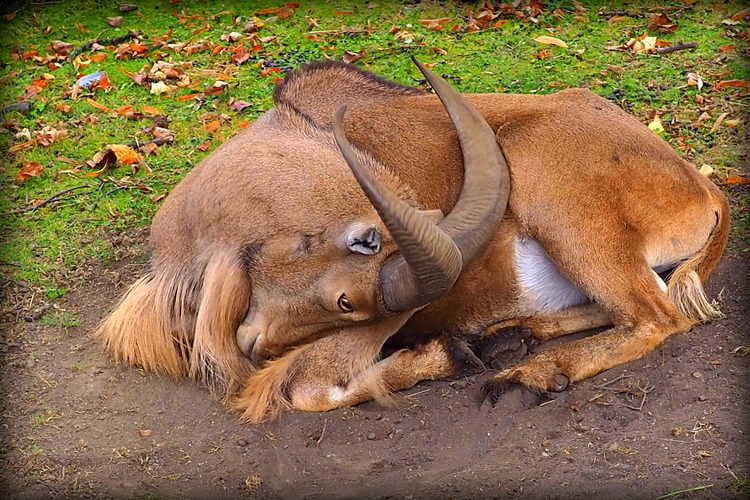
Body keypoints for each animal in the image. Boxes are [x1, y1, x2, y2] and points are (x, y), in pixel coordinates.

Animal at [97, 57, 732, 422]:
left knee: (656, 315)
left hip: (555, 196)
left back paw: (524, 374)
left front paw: (449, 354)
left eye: (349, 304)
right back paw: (513, 335)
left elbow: (309, 390)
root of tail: (702, 187)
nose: (255, 344)